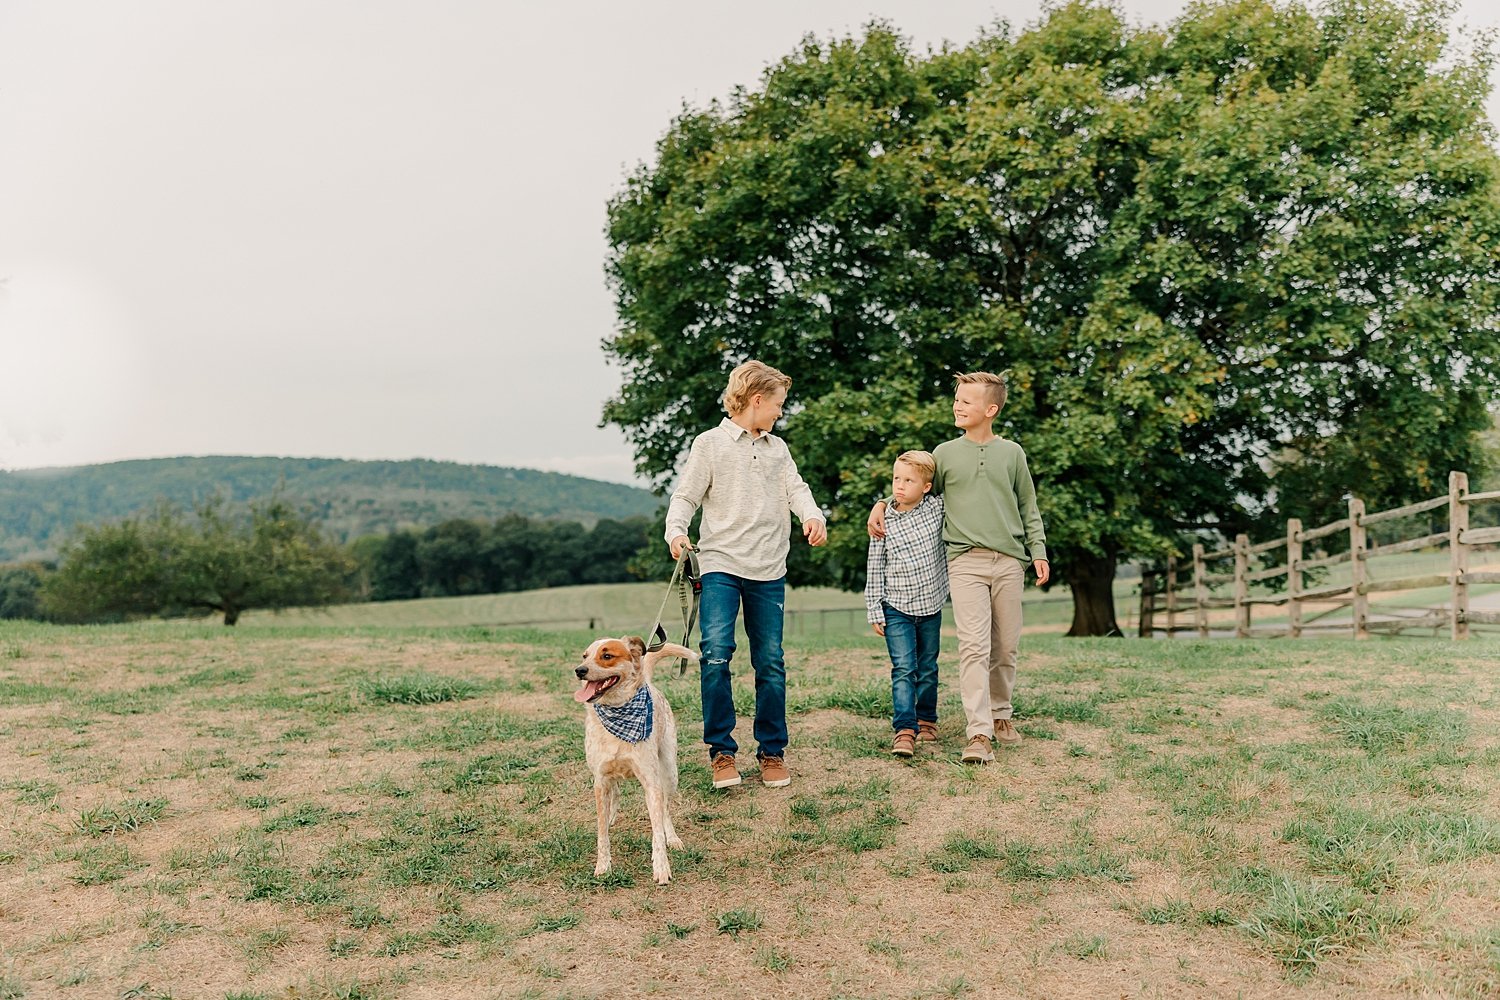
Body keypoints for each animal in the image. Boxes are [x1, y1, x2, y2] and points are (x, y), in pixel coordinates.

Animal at [573, 632, 696, 881]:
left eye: (607, 656)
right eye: (585, 656)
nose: (579, 670)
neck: (618, 710)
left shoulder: (651, 782)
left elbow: (657, 831)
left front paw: (661, 868)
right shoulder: (600, 780)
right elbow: (601, 832)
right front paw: (603, 866)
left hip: (669, 773)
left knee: (665, 810)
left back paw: (673, 838)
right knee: (616, 795)